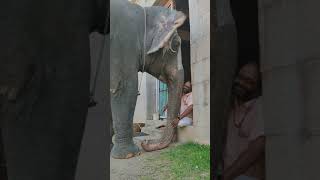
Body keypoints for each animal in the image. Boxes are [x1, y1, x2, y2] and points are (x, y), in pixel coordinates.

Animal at [110, 0, 186, 158]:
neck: (144, 12)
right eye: (176, 45)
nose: (147, 142)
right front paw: (129, 155)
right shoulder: (123, 44)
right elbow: (125, 89)